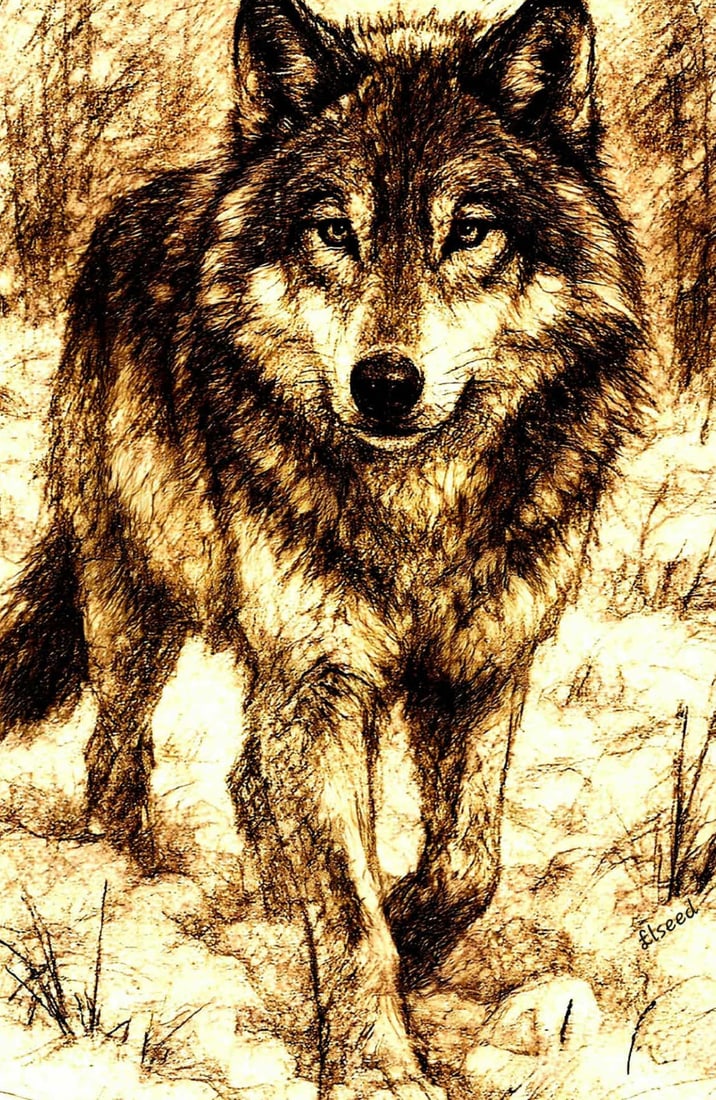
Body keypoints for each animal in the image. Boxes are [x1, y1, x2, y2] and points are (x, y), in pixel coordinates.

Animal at [0, 0, 644, 1094]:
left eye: (468, 230)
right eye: (334, 231)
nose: (383, 383)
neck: (416, 507)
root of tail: (141, 201)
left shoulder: (482, 663)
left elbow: (467, 862)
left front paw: (415, 928)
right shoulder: (324, 675)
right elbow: (349, 912)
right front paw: (377, 1059)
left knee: (248, 779)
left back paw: (269, 894)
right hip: (138, 600)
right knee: (116, 746)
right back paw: (130, 873)